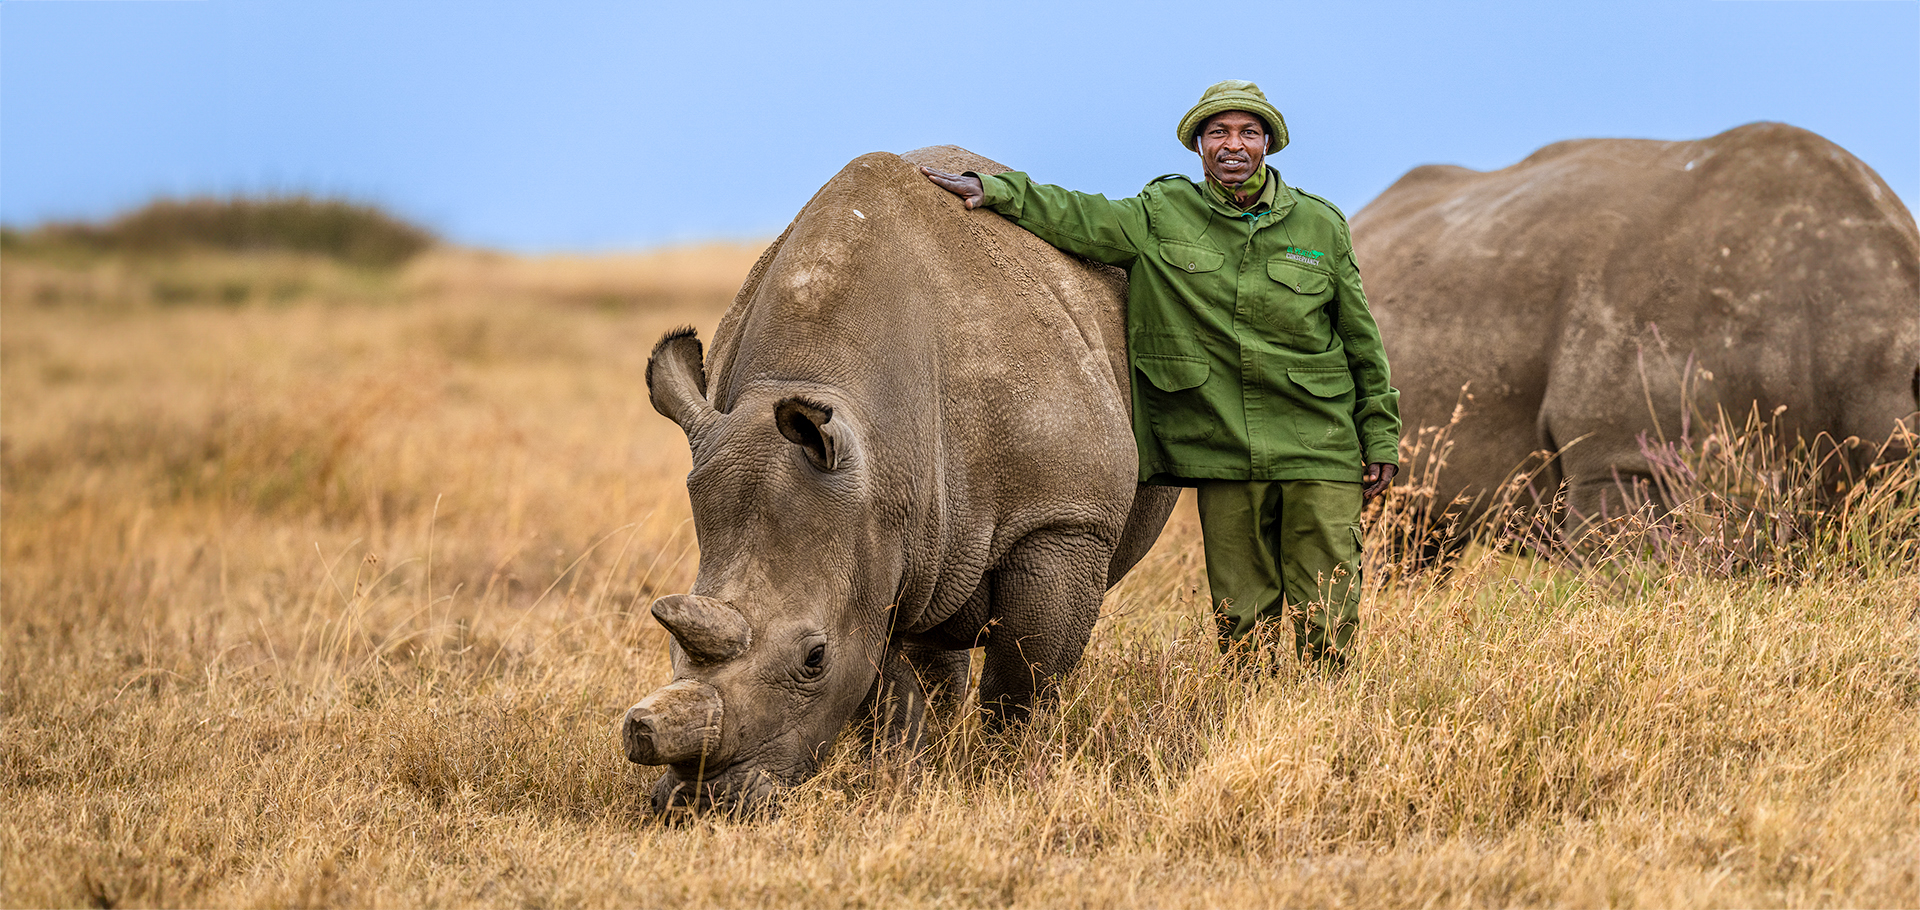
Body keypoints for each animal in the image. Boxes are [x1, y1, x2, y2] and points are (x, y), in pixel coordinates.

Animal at [623, 146, 1180, 813]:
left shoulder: (1064, 518)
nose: (703, 803)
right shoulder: (868, 541)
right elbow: (882, 684)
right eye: (668, 644)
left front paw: (1008, 768)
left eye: (814, 658)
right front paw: (905, 773)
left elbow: (1024, 670)